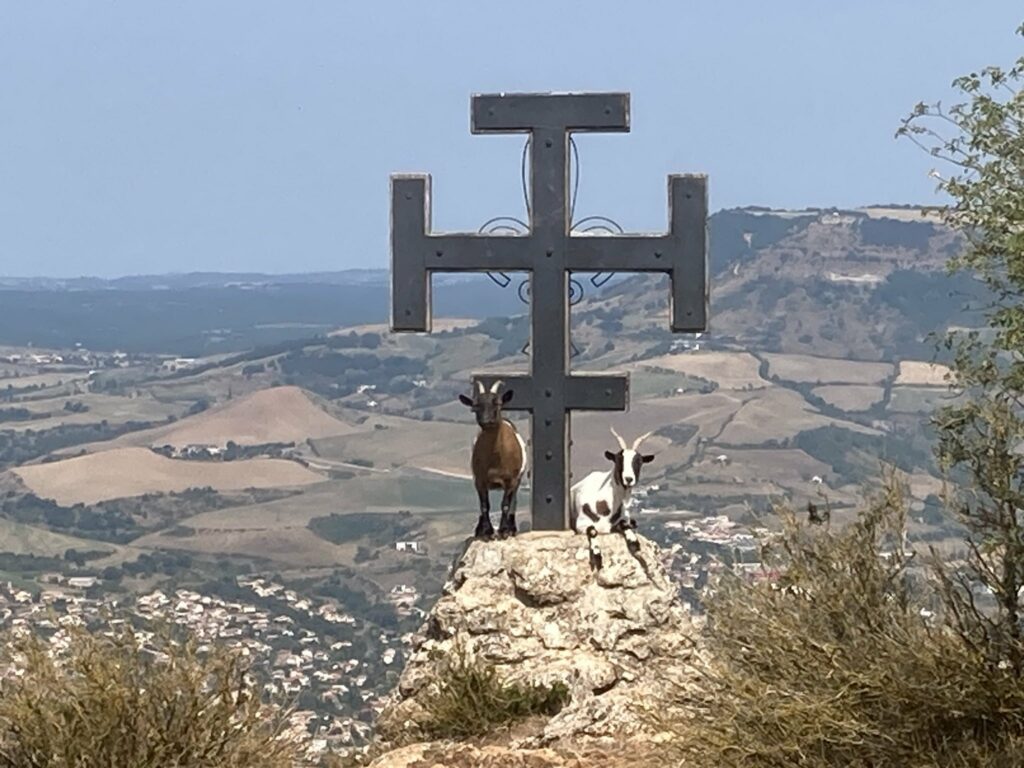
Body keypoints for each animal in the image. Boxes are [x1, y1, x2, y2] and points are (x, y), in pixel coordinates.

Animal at [462, 380, 528, 536]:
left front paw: (504, 530)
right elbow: (484, 505)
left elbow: (505, 505)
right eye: (475, 406)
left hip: (517, 480)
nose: (486, 421)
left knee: (513, 503)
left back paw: (512, 527)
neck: (495, 459)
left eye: (497, 403)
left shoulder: (511, 480)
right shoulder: (480, 479)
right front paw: (486, 530)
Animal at [569, 428, 655, 573]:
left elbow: (624, 524)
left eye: (639, 461)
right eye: (618, 459)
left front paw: (633, 542)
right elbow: (592, 530)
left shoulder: (621, 519)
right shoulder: (581, 524)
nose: (628, 479)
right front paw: (597, 556)